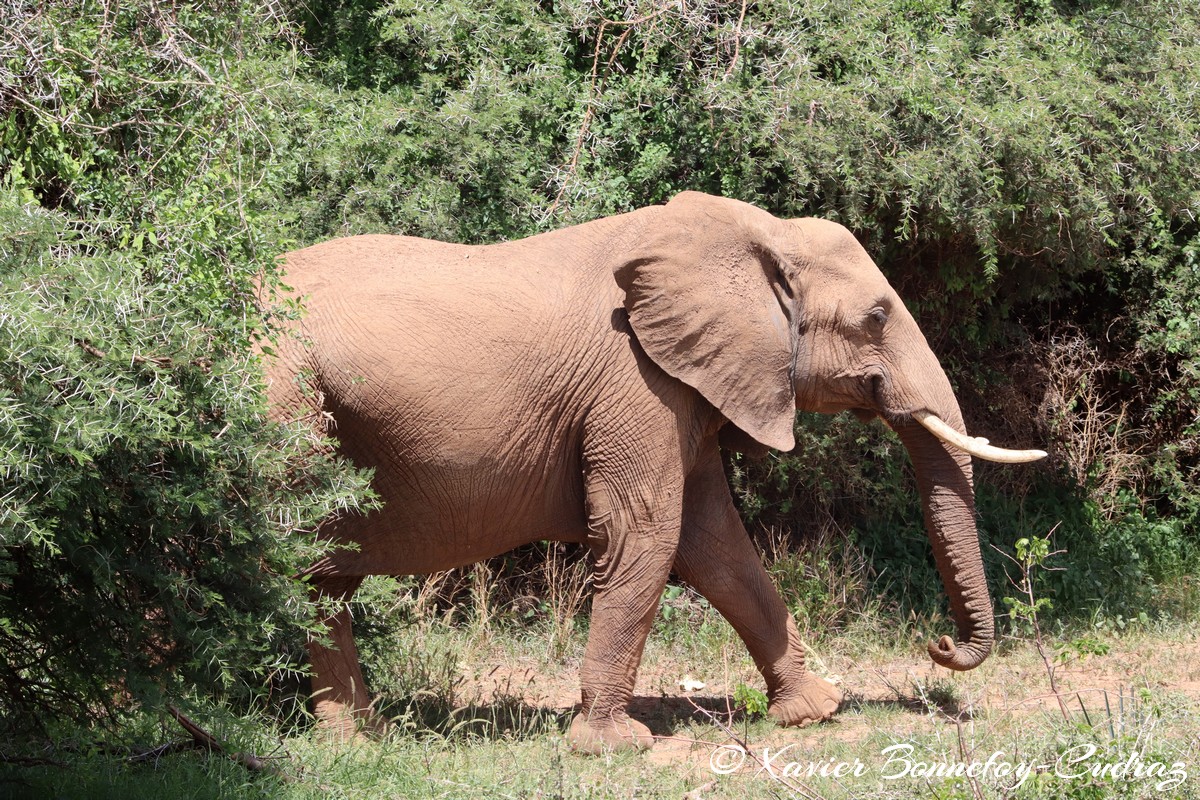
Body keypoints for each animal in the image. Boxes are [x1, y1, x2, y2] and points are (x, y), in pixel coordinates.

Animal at [262, 190, 1041, 753]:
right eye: (877, 317)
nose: (939, 645)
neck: (755, 236)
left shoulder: (687, 387)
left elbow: (716, 544)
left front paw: (815, 711)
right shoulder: (636, 383)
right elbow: (648, 535)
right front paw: (614, 747)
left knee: (321, 578)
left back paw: (359, 739)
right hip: (286, 395)